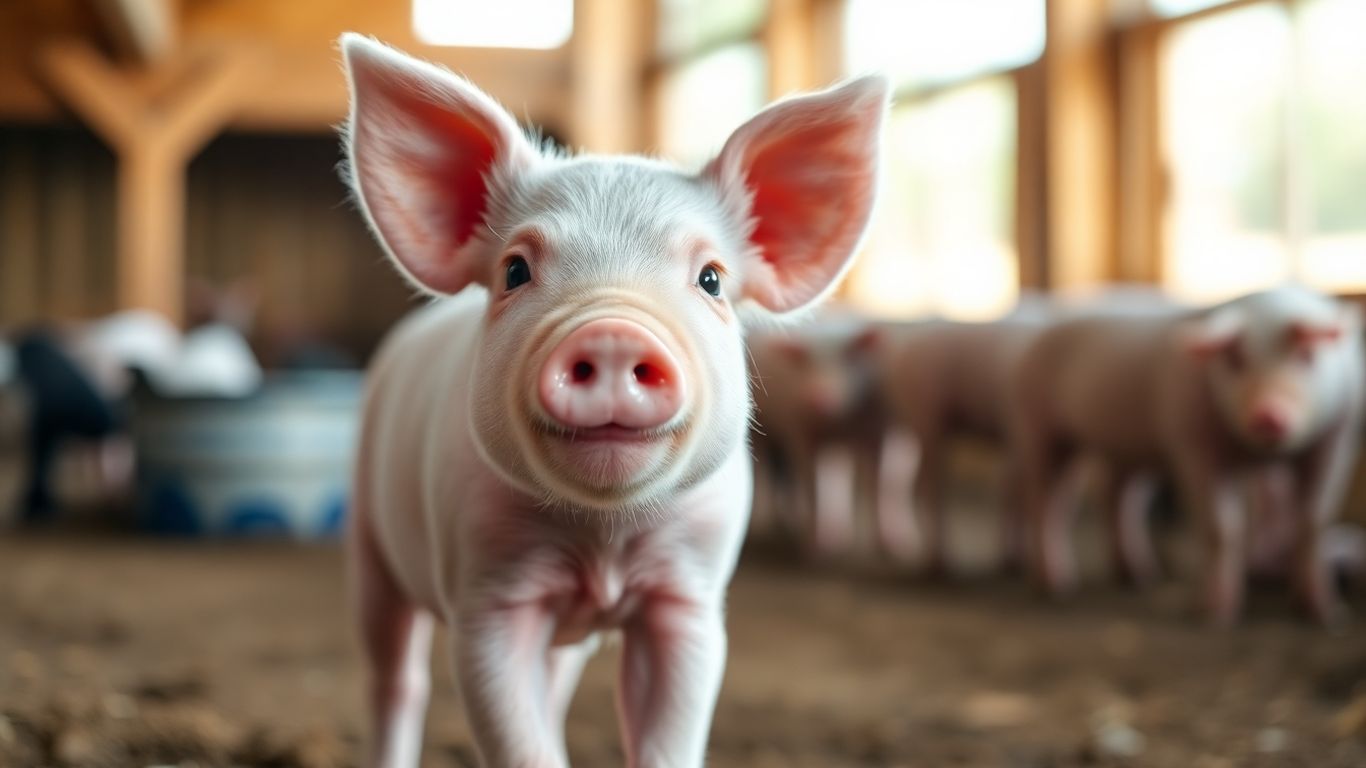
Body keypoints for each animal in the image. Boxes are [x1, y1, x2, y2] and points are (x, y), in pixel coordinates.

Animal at [746, 318, 890, 559]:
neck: (837, 423)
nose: (818, 397)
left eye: (848, 356)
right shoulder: (798, 432)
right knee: (764, 468)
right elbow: (811, 486)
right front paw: (812, 551)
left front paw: (882, 547)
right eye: (806, 361)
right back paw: (762, 526)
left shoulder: (874, 431)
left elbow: (873, 486)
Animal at [1013, 285, 1364, 625]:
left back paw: (1138, 578)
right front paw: (1213, 615)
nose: (1267, 415)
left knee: (1118, 497)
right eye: (1235, 361)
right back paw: (1056, 587)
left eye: (1306, 356)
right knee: (1049, 500)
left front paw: (1325, 615)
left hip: (1127, 451)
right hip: (1038, 422)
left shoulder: (1338, 439)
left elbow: (1313, 521)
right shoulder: (1191, 441)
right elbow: (1220, 526)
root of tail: (1038, 338)